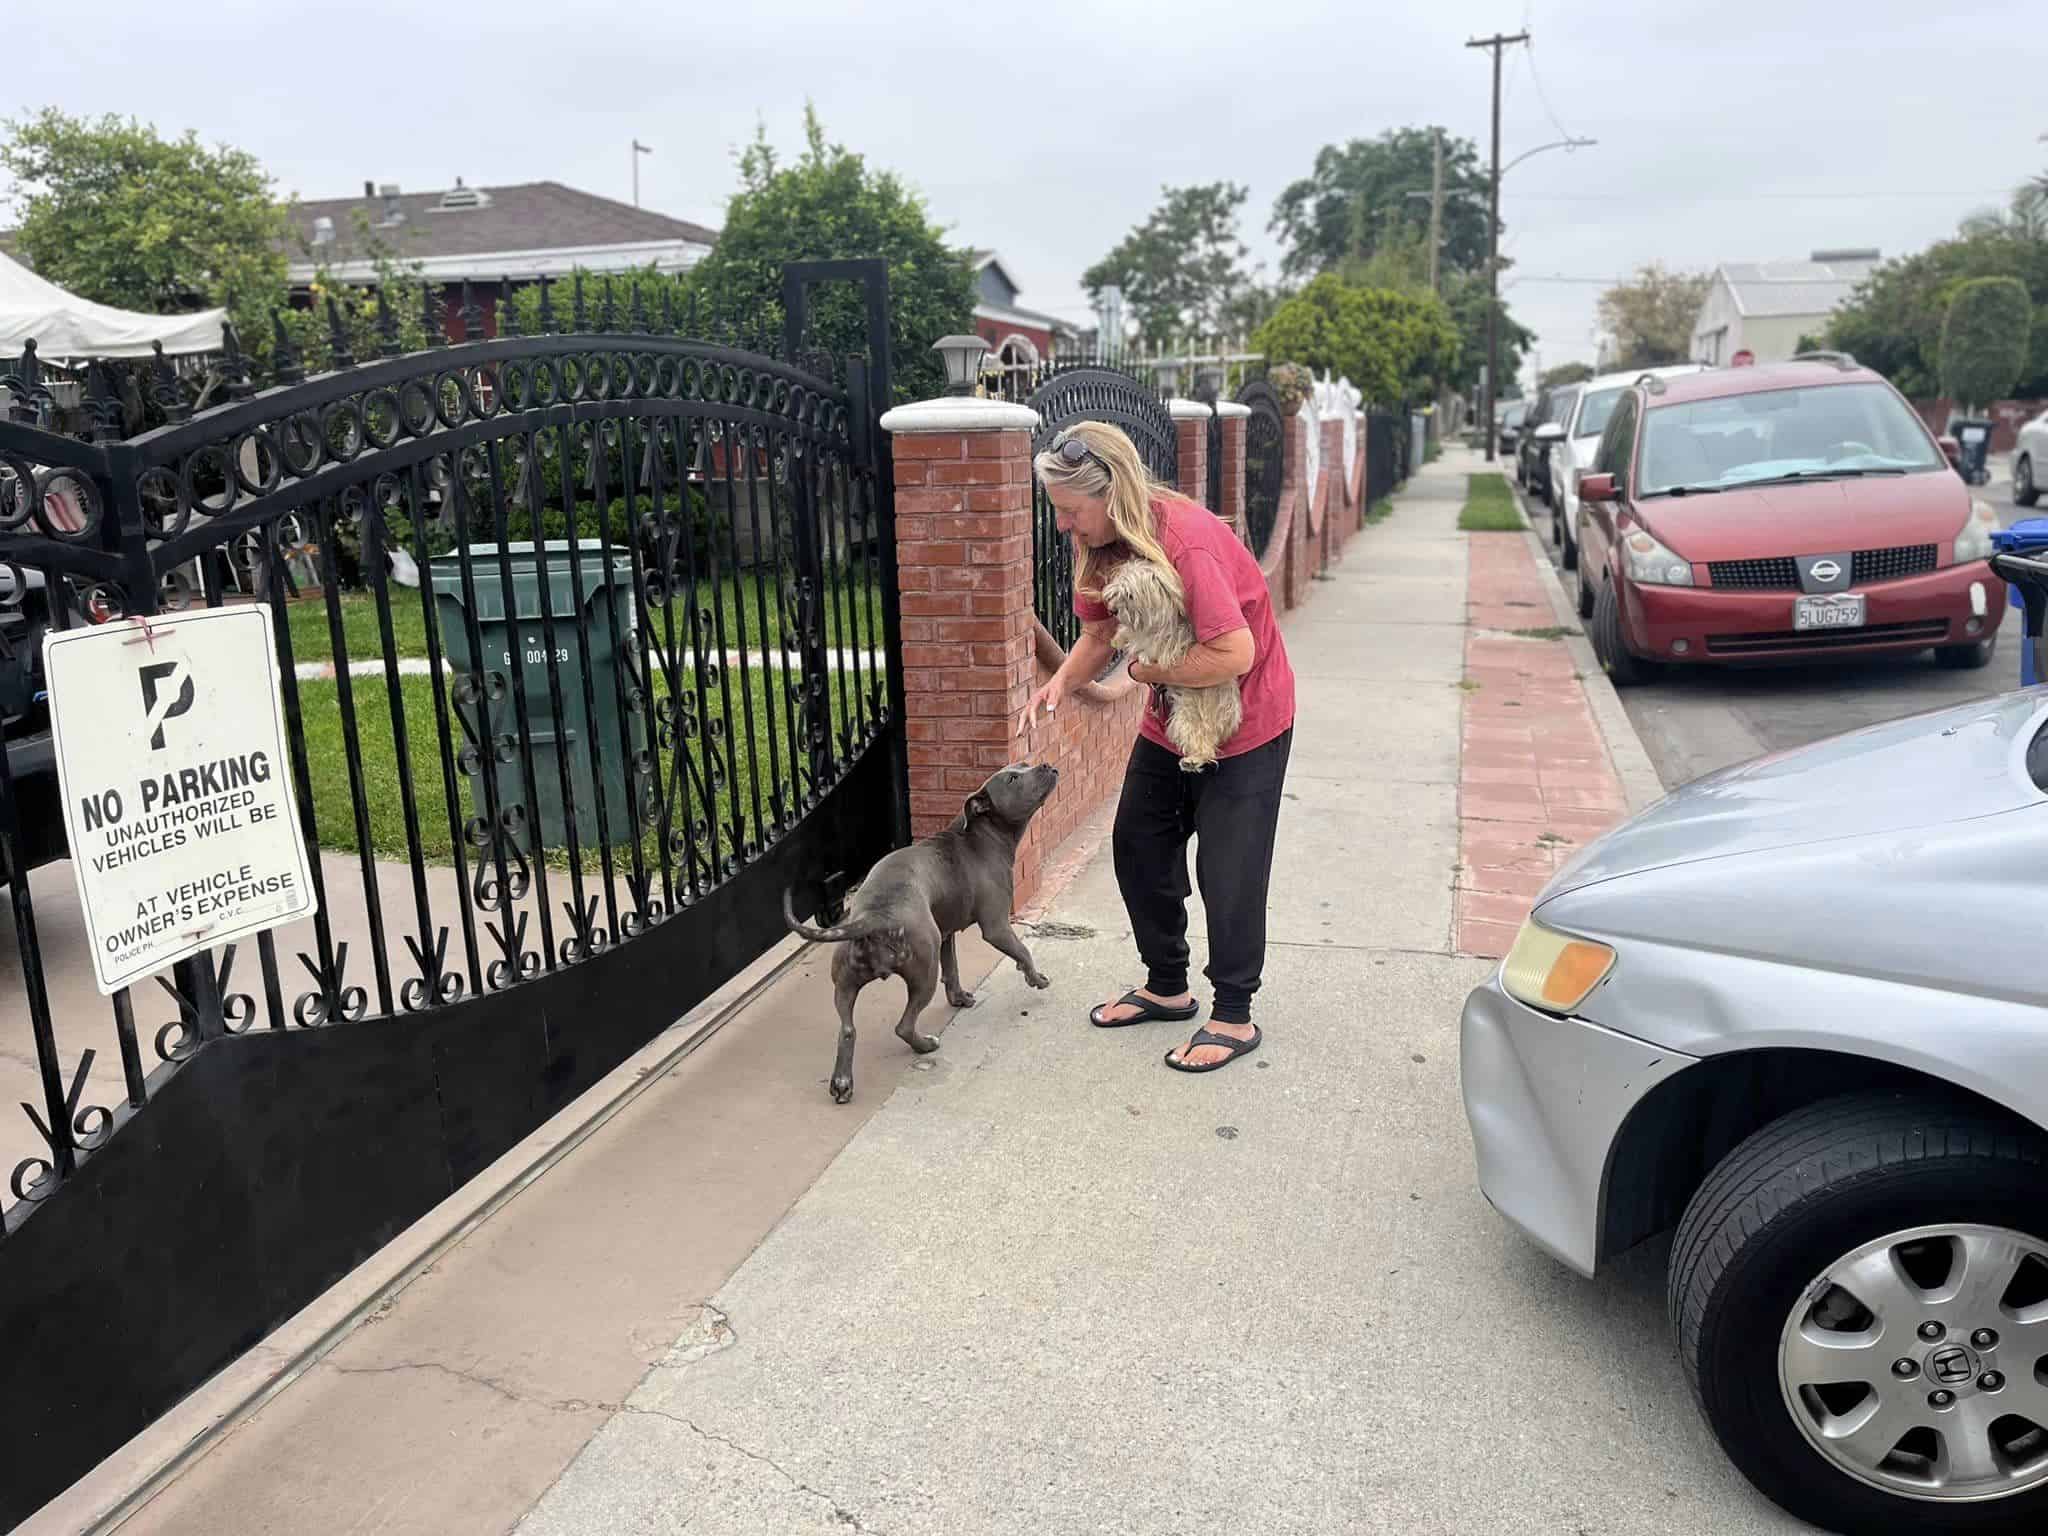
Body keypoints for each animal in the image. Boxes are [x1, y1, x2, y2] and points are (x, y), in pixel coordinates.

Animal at [782, 765, 1064, 1105]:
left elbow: (953, 968)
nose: (1046, 765)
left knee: (848, 1029)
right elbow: (1023, 951)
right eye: (1012, 778)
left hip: (845, 983)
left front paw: (959, 998)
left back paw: (842, 1082)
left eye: (1022, 766)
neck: (982, 837)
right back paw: (926, 1045)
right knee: (903, 1026)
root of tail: (871, 919)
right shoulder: (996, 927)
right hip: (923, 974)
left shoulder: (945, 933)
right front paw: (1036, 978)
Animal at [1105, 552, 1245, 774]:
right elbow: (1130, 633)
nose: (1112, 611)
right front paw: (1118, 638)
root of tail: (1231, 715)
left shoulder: (1167, 646)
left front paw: (1140, 654)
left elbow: (1146, 645)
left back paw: (1193, 760)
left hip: (1187, 716)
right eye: (1116, 593)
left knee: (1204, 744)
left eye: (1129, 595)